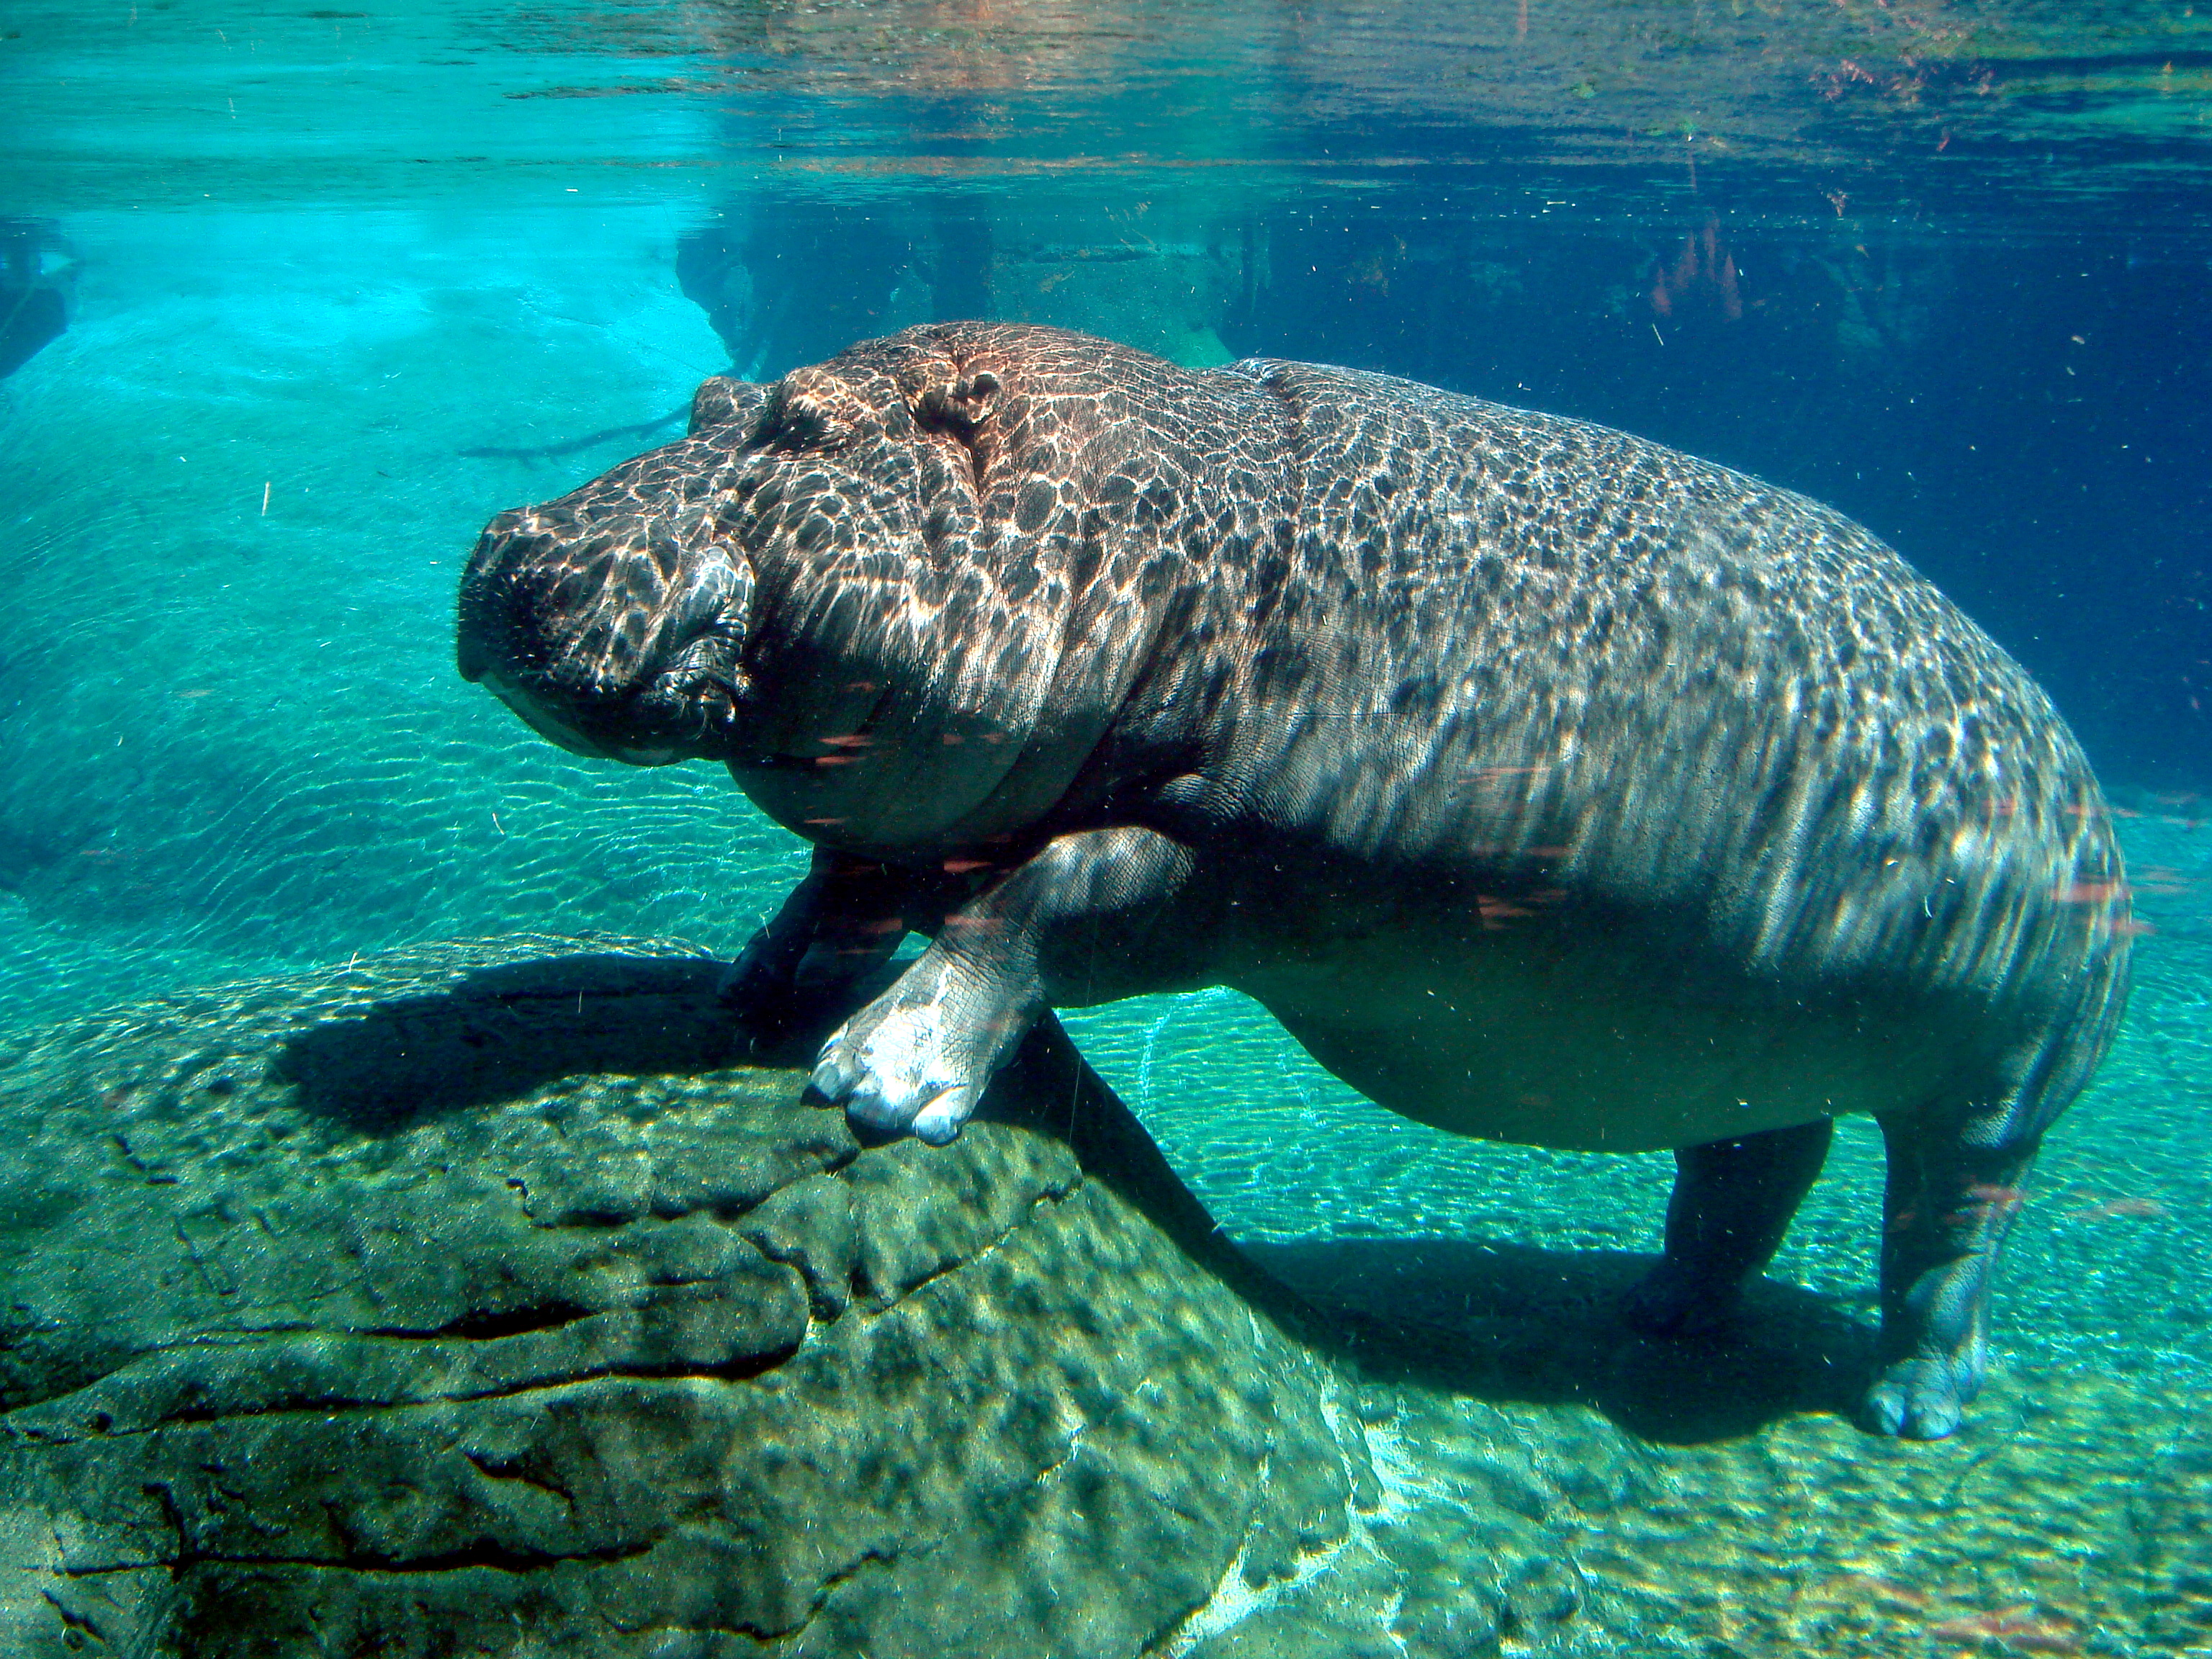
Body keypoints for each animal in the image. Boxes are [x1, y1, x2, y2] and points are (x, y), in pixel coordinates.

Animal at [457, 321, 2131, 1438]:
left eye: (807, 427)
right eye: (711, 398)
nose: (508, 542)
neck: (1123, 526)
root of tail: (2081, 767)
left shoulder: (1226, 862)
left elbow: (1020, 913)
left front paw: (878, 1080)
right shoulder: (926, 811)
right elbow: (842, 886)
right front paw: (744, 991)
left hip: (1999, 1077)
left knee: (1944, 1232)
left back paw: (1916, 1405)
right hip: (1753, 1032)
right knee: (1752, 1163)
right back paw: (1661, 1314)